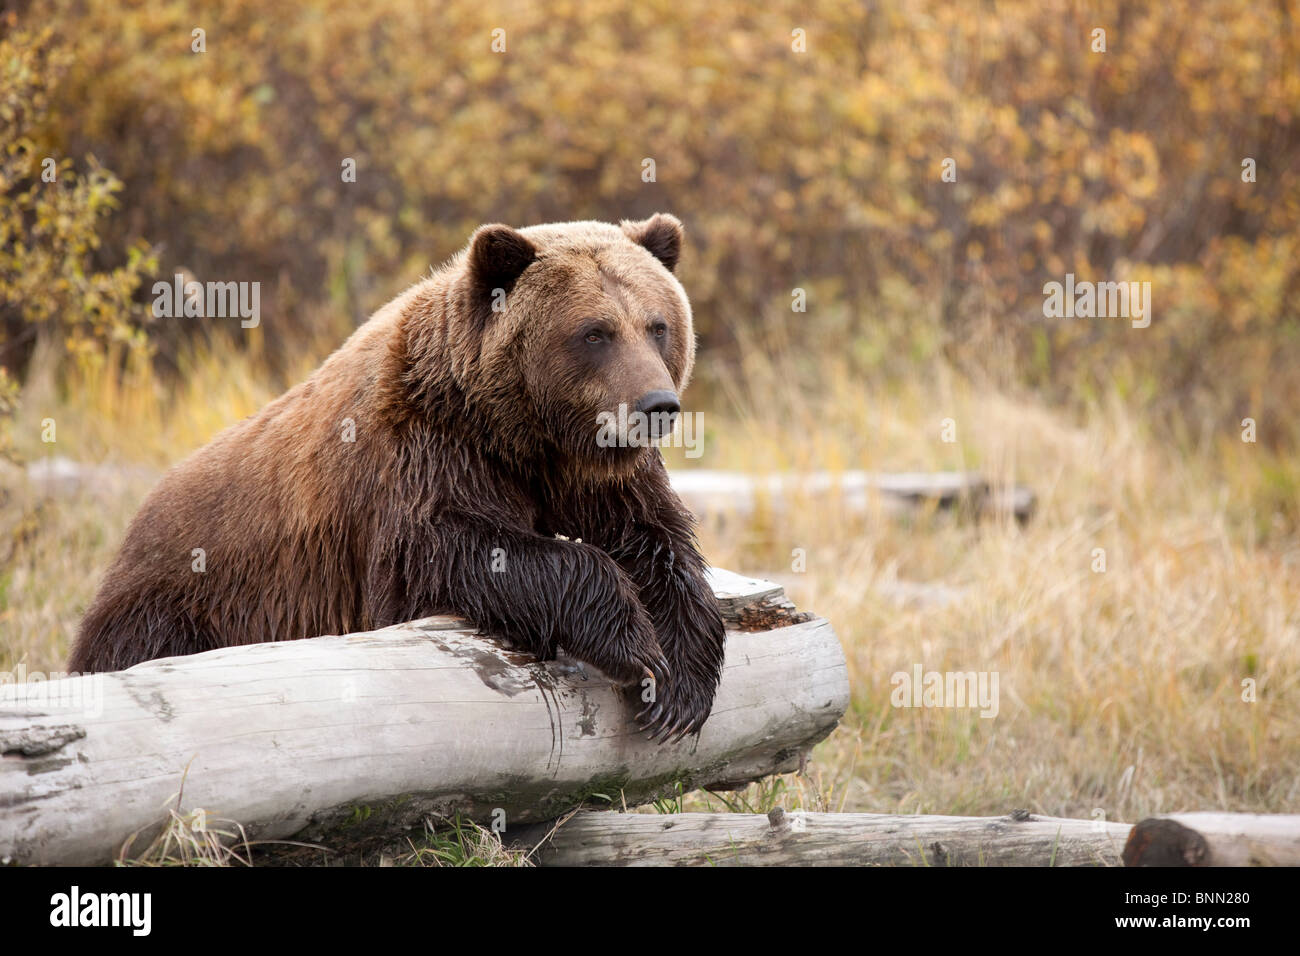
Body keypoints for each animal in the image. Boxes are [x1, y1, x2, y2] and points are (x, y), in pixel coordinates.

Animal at [71, 214, 728, 738]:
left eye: (658, 324)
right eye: (594, 332)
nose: (656, 405)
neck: (521, 436)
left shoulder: (596, 479)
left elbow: (657, 540)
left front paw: (680, 684)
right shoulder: (421, 454)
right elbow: (446, 552)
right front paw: (634, 645)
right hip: (179, 607)